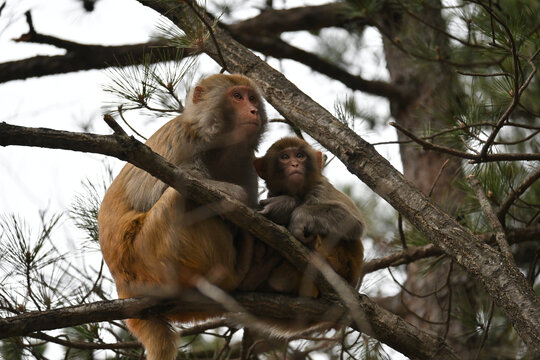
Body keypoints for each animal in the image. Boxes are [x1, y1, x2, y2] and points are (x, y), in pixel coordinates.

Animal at [98, 73, 266, 360]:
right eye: (237, 97)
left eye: (253, 98)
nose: (253, 110)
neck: (219, 147)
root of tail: (123, 286)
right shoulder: (182, 140)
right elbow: (157, 190)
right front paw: (237, 196)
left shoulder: (246, 164)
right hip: (147, 255)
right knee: (179, 194)